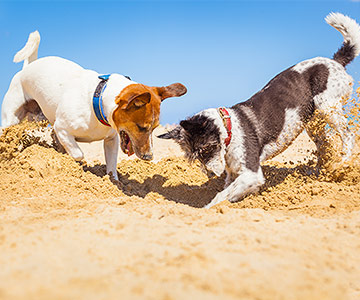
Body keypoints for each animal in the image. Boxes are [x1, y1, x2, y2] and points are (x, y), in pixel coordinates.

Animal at [2, 31, 187, 179]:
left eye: (155, 128)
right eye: (141, 127)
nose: (149, 157)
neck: (97, 102)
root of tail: (27, 68)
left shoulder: (112, 139)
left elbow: (111, 165)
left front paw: (114, 182)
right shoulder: (62, 128)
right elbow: (78, 154)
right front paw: (77, 166)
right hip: (11, 119)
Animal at [159, 12, 360, 209]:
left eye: (206, 149)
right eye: (194, 157)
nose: (210, 175)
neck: (229, 129)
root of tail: (335, 61)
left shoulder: (251, 174)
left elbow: (220, 196)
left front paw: (208, 209)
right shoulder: (234, 174)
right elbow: (229, 190)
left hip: (327, 106)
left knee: (348, 135)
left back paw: (342, 164)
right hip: (312, 121)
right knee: (325, 144)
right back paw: (320, 173)